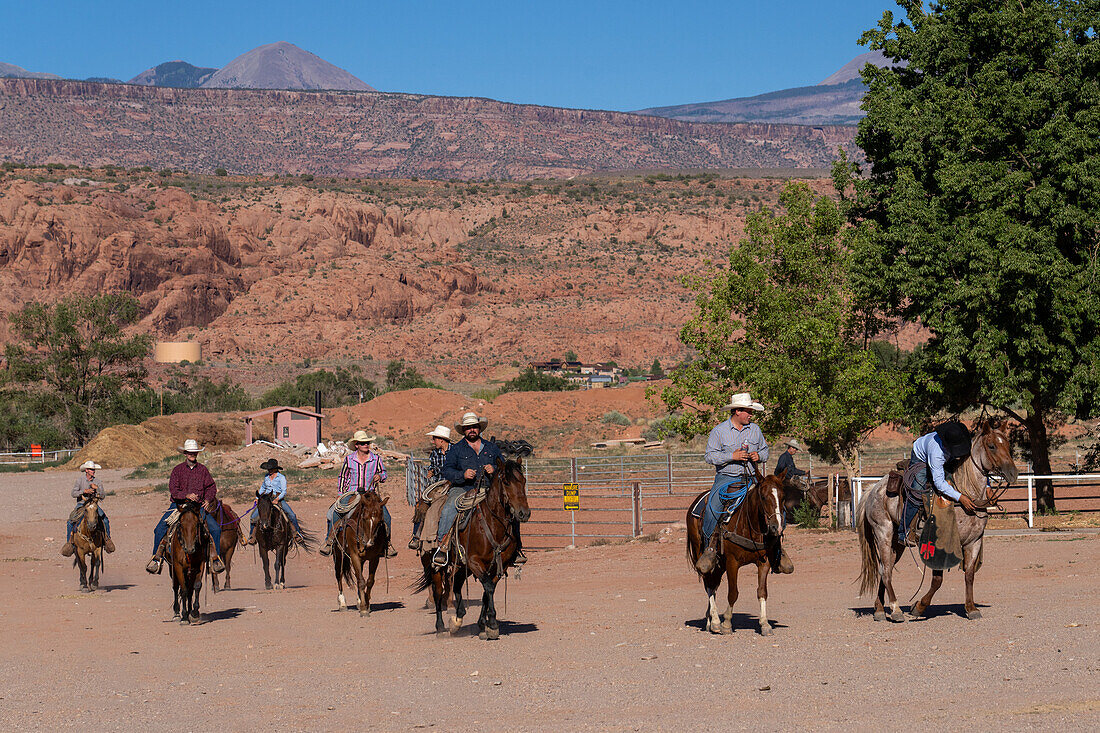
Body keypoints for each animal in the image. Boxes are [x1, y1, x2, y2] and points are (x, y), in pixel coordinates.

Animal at [413, 457, 530, 638]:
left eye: (523, 481)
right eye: (506, 482)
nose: (524, 513)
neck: (493, 525)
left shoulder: (498, 566)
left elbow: (487, 591)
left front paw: (483, 625)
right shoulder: (474, 561)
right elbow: (488, 587)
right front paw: (493, 624)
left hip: (461, 566)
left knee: (456, 584)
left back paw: (457, 619)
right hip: (435, 566)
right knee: (438, 591)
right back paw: (440, 627)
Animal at [686, 468, 800, 633]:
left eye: (783, 497)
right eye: (763, 497)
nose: (775, 527)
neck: (750, 525)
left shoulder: (763, 563)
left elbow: (762, 591)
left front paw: (764, 624)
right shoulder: (732, 562)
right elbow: (733, 593)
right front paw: (726, 623)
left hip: (719, 563)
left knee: (713, 584)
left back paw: (709, 621)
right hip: (699, 553)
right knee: (708, 584)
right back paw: (715, 621)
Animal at [853, 420, 1016, 620]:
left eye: (1007, 444)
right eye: (992, 446)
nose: (1013, 473)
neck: (964, 492)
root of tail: (872, 489)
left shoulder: (974, 542)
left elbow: (969, 575)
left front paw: (971, 608)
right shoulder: (940, 545)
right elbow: (937, 580)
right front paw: (919, 607)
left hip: (896, 543)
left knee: (887, 568)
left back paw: (879, 610)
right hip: (883, 533)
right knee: (885, 571)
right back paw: (896, 609)